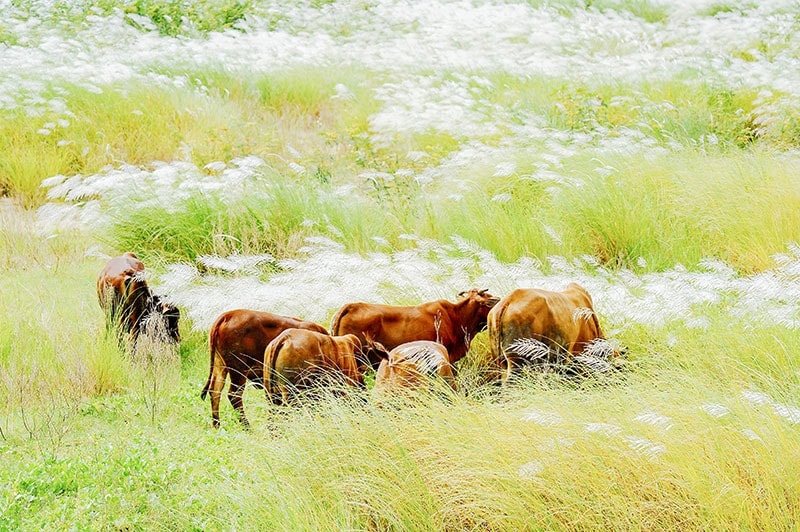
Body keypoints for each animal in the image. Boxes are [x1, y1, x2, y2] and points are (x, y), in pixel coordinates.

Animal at [202, 312, 330, 428]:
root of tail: (227, 315)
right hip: (239, 371)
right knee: (234, 395)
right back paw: (247, 427)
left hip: (220, 366)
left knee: (215, 391)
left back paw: (217, 425)